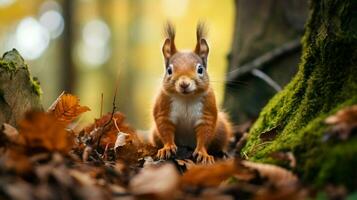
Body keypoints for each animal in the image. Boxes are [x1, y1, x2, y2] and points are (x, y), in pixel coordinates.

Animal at [151, 23, 232, 164]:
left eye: (200, 69)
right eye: (169, 70)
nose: (184, 84)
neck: (186, 98)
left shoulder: (207, 112)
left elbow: (205, 133)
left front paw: (203, 153)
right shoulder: (163, 107)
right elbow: (165, 129)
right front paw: (167, 148)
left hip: (222, 129)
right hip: (154, 133)